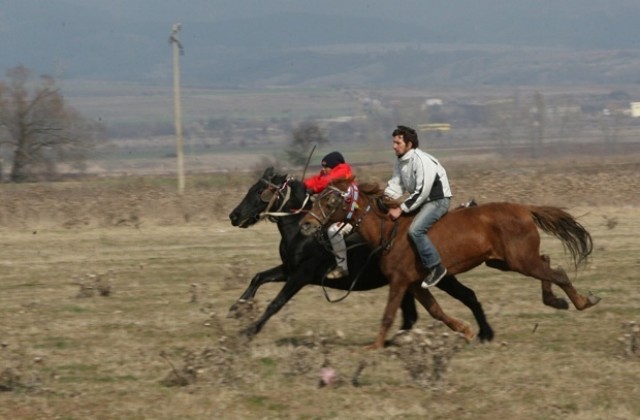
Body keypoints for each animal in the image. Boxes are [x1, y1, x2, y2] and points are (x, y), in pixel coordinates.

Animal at [230, 167, 496, 342]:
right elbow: (258, 277)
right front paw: (237, 307)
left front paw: (248, 331)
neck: (300, 231)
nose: (234, 216)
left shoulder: (301, 275)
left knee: (467, 296)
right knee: (414, 315)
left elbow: (276, 303)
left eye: (261, 191)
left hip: (440, 277)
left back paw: (485, 333)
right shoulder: (288, 269)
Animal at [300, 177, 600, 348]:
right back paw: (556, 300)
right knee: (548, 264)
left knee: (557, 272)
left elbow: (388, 315)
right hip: (504, 261)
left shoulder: (399, 282)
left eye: (331, 198)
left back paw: (582, 301)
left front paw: (374, 346)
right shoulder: (414, 284)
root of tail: (524, 208)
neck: (389, 231)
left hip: (520, 261)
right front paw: (466, 331)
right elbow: (436, 311)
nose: (305, 224)